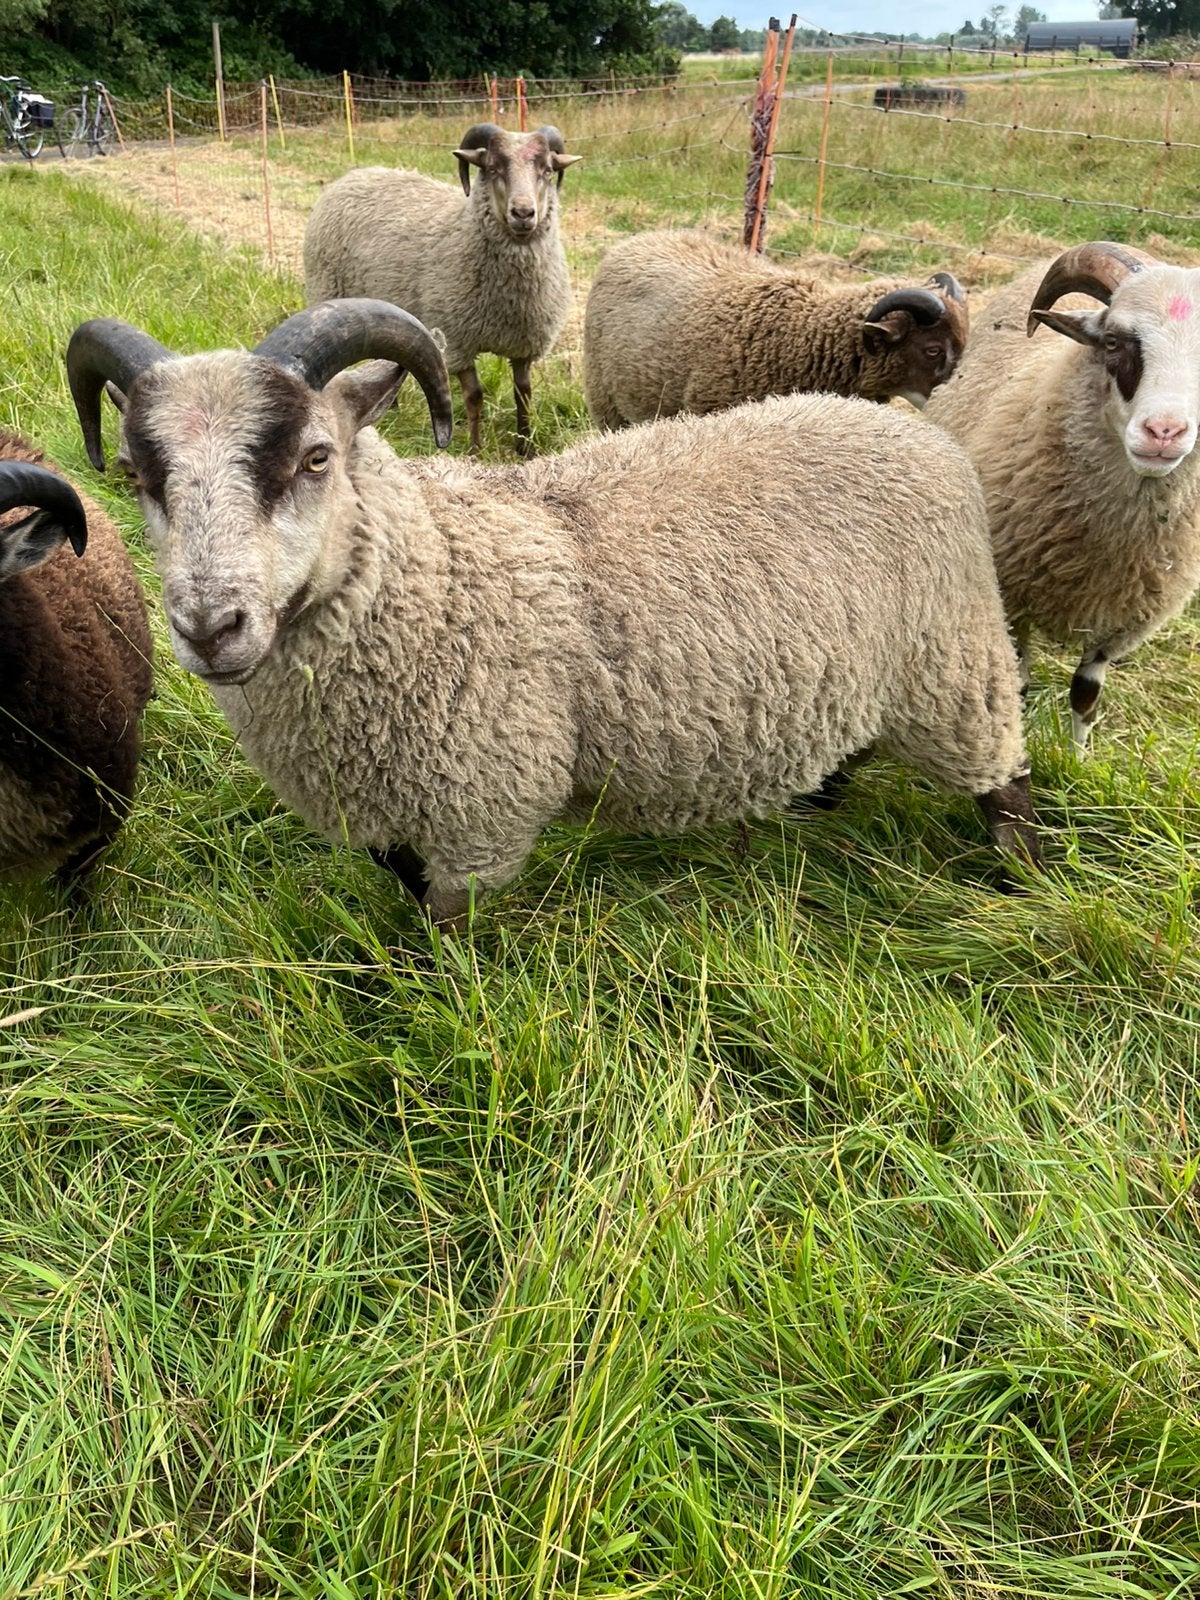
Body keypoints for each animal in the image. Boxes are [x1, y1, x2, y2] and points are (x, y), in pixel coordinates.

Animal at [66, 299, 1038, 929]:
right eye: (140, 474)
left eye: (314, 458)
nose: (210, 629)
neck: (437, 575)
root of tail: (919, 432)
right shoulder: (390, 814)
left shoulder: (480, 815)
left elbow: (444, 938)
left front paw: (438, 1015)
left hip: (957, 668)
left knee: (1006, 780)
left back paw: (1020, 883)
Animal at [303, 123, 581, 456]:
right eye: (492, 168)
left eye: (547, 170)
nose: (524, 213)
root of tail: (355, 174)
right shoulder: (457, 339)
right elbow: (474, 396)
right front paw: (475, 449)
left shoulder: (524, 344)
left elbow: (523, 393)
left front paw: (525, 446)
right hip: (327, 289)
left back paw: (392, 407)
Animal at [924, 240, 1200, 748]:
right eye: (1112, 342)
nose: (1164, 432)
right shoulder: (1011, 595)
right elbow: (1019, 681)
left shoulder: (1121, 620)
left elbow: (1085, 694)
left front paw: (1076, 756)